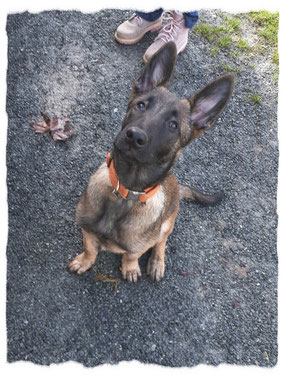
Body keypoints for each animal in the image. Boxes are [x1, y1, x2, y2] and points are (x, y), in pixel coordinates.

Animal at [67, 42, 234, 282]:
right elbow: (90, 249)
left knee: (161, 241)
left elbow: (132, 255)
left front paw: (130, 268)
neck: (125, 190)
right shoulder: (87, 229)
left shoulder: (140, 244)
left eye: (173, 125)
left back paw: (156, 262)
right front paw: (84, 261)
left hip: (168, 223)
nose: (134, 136)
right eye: (141, 106)